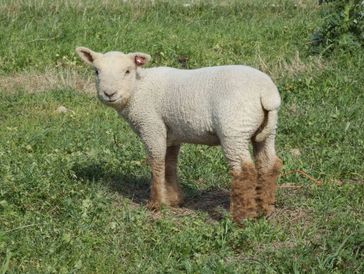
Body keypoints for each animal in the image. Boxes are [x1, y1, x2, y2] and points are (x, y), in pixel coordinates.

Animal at [75, 47, 282, 223]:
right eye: (96, 71)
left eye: (127, 71)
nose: (109, 93)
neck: (138, 89)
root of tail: (266, 93)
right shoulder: (171, 133)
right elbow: (170, 164)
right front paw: (174, 199)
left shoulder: (152, 126)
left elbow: (157, 164)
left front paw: (156, 204)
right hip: (266, 130)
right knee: (269, 164)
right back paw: (265, 209)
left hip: (233, 130)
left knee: (244, 171)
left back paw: (241, 216)